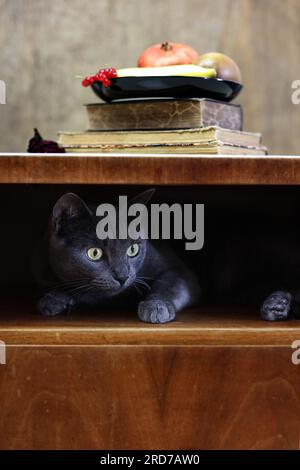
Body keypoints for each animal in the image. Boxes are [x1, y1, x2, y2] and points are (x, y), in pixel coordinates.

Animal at [33, 189, 199, 322]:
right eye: (94, 253)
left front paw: (157, 307)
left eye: (133, 249)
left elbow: (169, 284)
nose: (123, 277)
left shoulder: (180, 270)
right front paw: (54, 299)